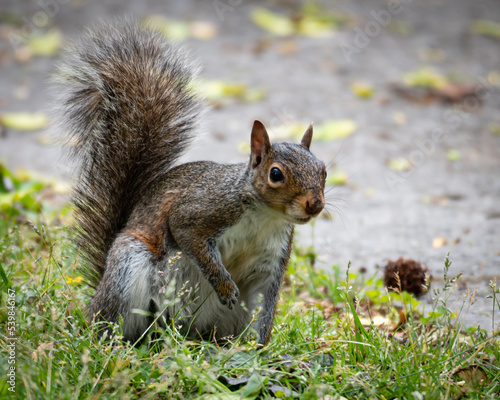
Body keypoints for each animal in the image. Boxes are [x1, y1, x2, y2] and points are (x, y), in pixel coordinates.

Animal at [55, 20, 328, 344]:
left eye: (323, 170)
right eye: (276, 174)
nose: (315, 205)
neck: (265, 217)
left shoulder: (270, 262)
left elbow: (262, 309)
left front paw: (258, 349)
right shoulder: (203, 210)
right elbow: (190, 238)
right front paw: (225, 287)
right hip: (128, 265)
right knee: (115, 321)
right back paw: (115, 342)